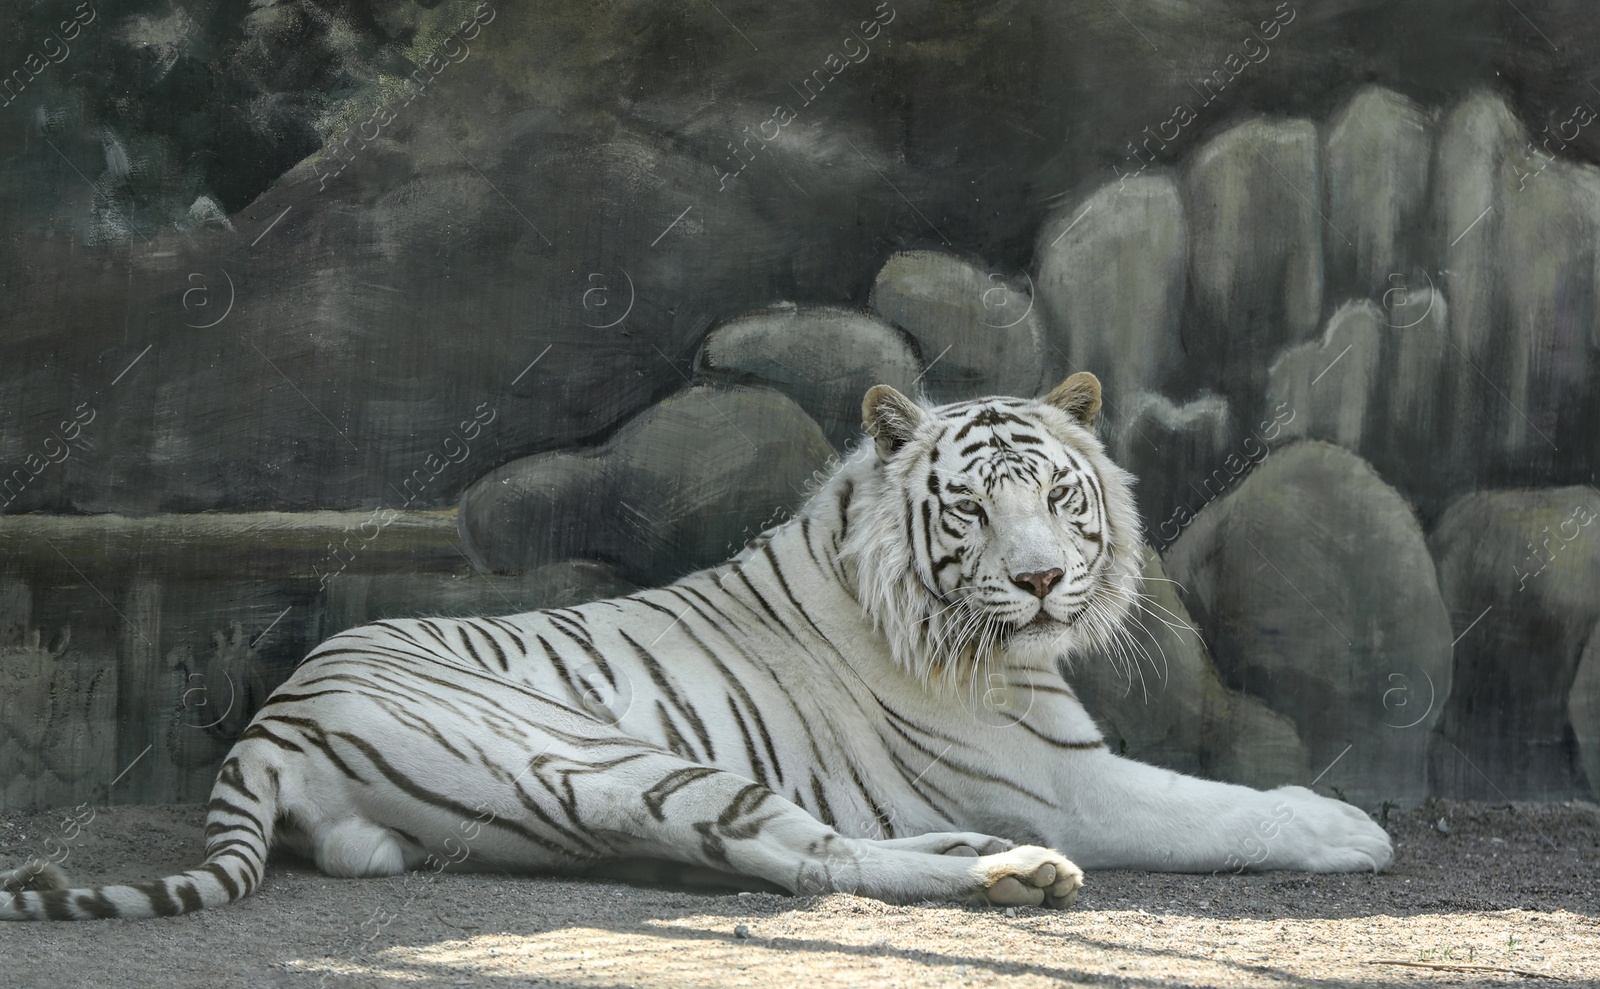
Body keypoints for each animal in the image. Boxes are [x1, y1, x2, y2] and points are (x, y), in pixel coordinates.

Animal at [1, 372, 1392, 921]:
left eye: (1057, 495)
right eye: (973, 510)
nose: (1044, 579)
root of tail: (269, 720)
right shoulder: (1064, 778)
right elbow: (1216, 804)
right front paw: (1350, 828)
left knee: (793, 848)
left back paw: (984, 856)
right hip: (615, 763)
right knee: (803, 860)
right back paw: (1011, 872)